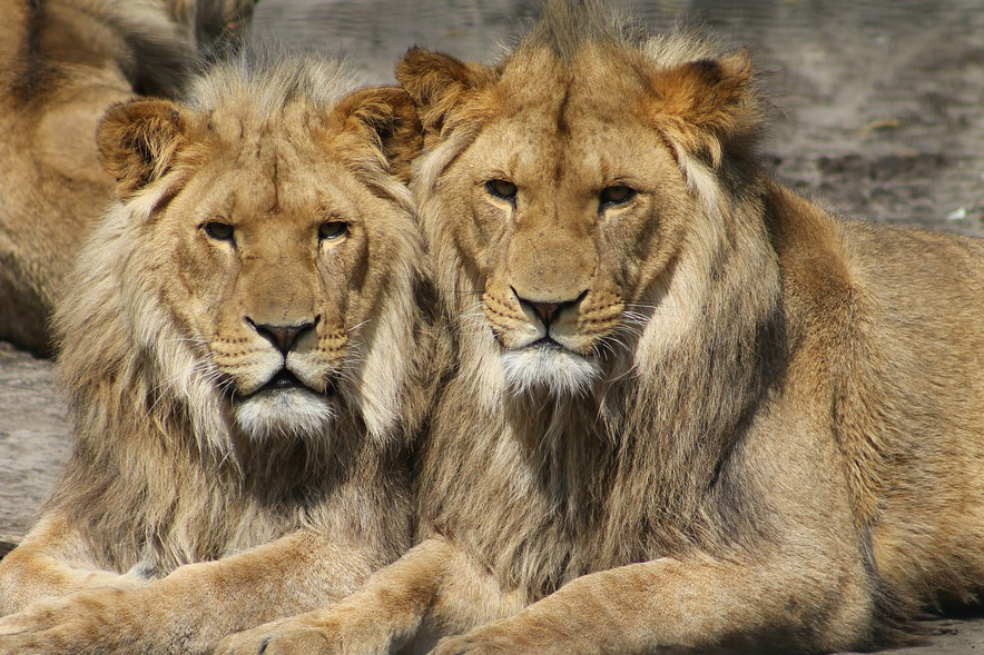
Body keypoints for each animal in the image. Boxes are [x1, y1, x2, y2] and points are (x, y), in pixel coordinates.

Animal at [0, 48, 443, 655]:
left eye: (331, 231)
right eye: (220, 231)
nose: (285, 332)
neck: (236, 445)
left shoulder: (358, 541)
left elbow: (209, 586)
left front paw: (61, 625)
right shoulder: (114, 495)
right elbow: (17, 568)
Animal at [214, 2, 984, 654]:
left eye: (617, 196)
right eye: (502, 191)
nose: (545, 308)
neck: (574, 417)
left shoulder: (808, 563)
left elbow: (608, 596)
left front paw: (484, 646)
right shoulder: (507, 535)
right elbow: (403, 577)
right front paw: (294, 631)